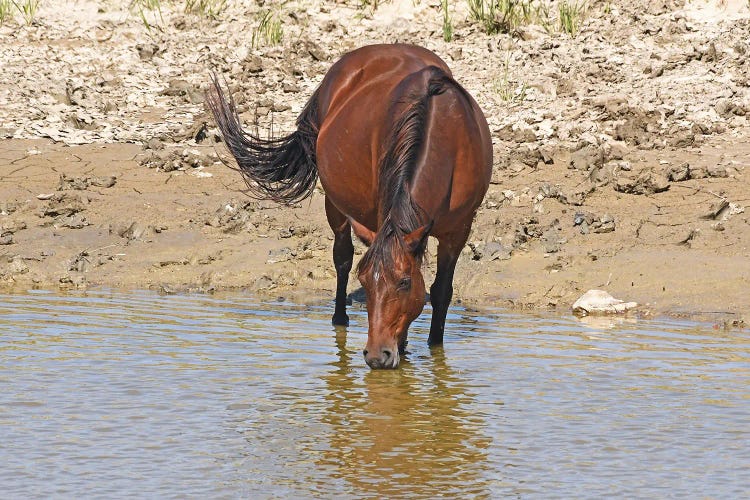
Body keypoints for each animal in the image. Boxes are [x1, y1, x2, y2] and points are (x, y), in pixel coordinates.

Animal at [209, 45, 496, 370]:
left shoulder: (458, 231)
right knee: (342, 258)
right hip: (334, 204)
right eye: (365, 282)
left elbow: (441, 292)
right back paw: (340, 318)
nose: (377, 356)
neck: (446, 138)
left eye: (405, 282)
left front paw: (432, 346)